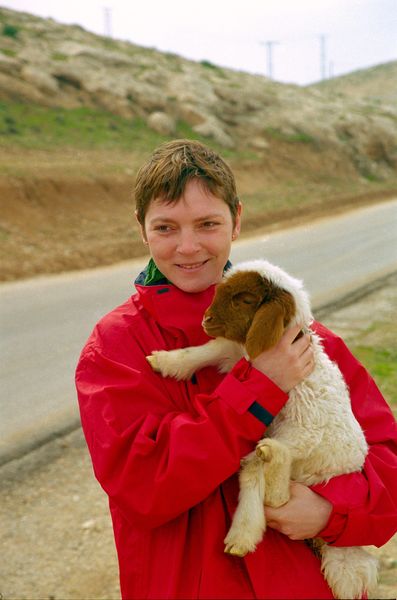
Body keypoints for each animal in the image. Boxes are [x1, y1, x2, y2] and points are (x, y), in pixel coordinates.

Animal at [146, 260, 378, 600]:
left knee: (273, 489)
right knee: (265, 485)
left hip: (301, 440)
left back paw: (244, 529)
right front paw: (164, 361)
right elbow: (208, 350)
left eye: (244, 299)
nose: (205, 319)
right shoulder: (235, 355)